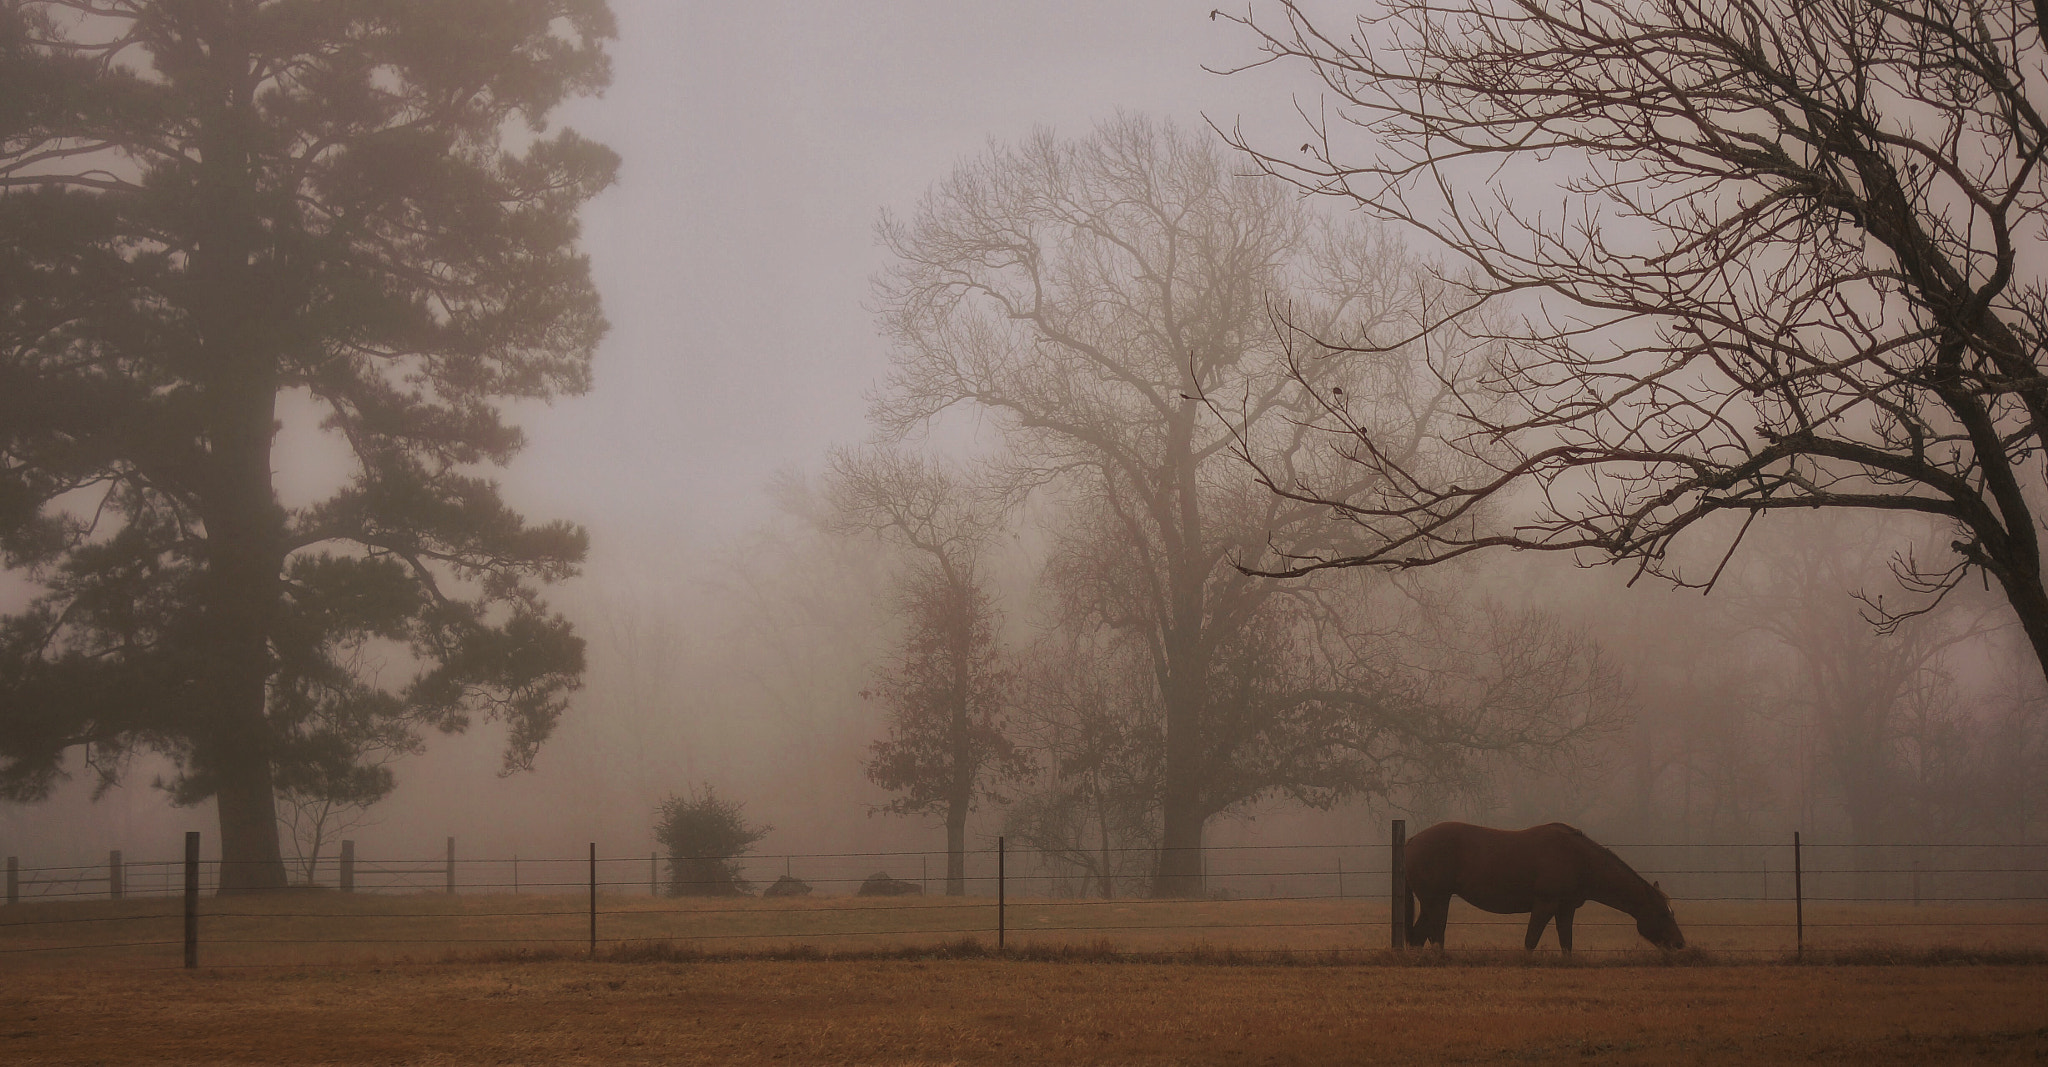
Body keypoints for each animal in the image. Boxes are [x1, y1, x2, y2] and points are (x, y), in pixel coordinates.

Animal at [1409, 819, 1679, 954]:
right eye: (1663, 914)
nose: (1680, 943)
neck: (1578, 859)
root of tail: (1410, 842)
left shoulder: (1566, 909)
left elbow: (1566, 945)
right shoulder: (1544, 905)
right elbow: (1530, 942)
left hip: (1433, 902)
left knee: (1418, 937)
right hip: (1436, 900)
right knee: (1435, 937)